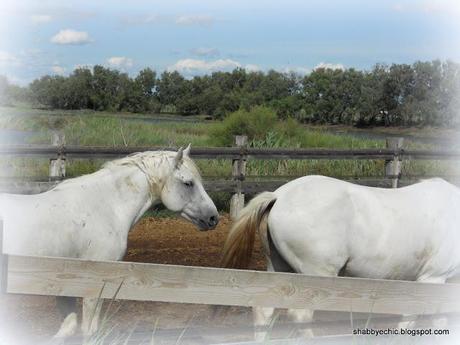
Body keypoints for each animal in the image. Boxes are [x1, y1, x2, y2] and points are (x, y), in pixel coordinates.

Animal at [0, 145, 219, 338]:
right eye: (188, 183)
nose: (213, 218)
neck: (104, 207)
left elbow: (68, 328)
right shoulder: (94, 285)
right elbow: (88, 330)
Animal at [222, 176, 460, 338]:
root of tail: (279, 196)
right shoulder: (433, 279)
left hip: (279, 269)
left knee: (264, 310)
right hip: (315, 276)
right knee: (300, 316)